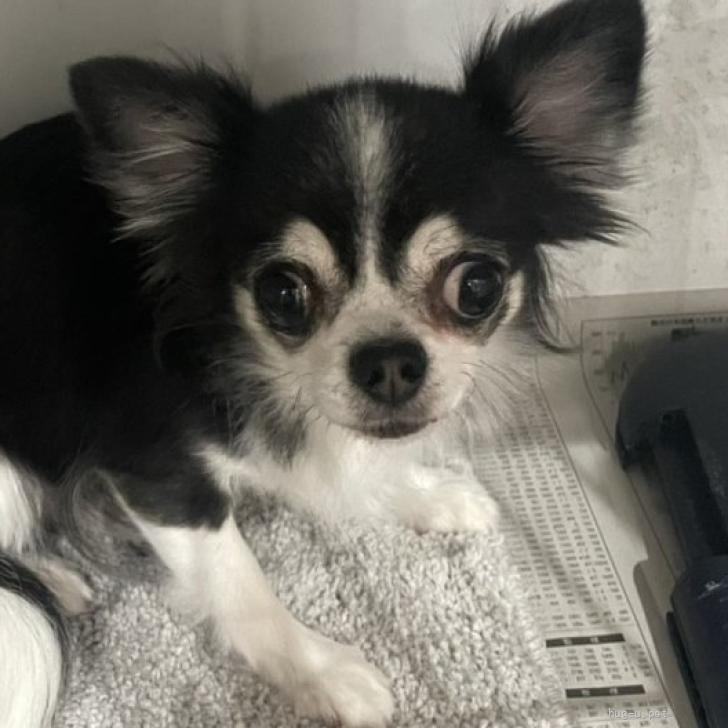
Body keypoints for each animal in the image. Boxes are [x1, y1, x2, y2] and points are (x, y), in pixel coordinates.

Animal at [0, 0, 646, 725]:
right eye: (282, 293)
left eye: (476, 286)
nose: (390, 361)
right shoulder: (155, 470)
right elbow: (239, 582)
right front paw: (323, 672)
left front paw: (427, 493)